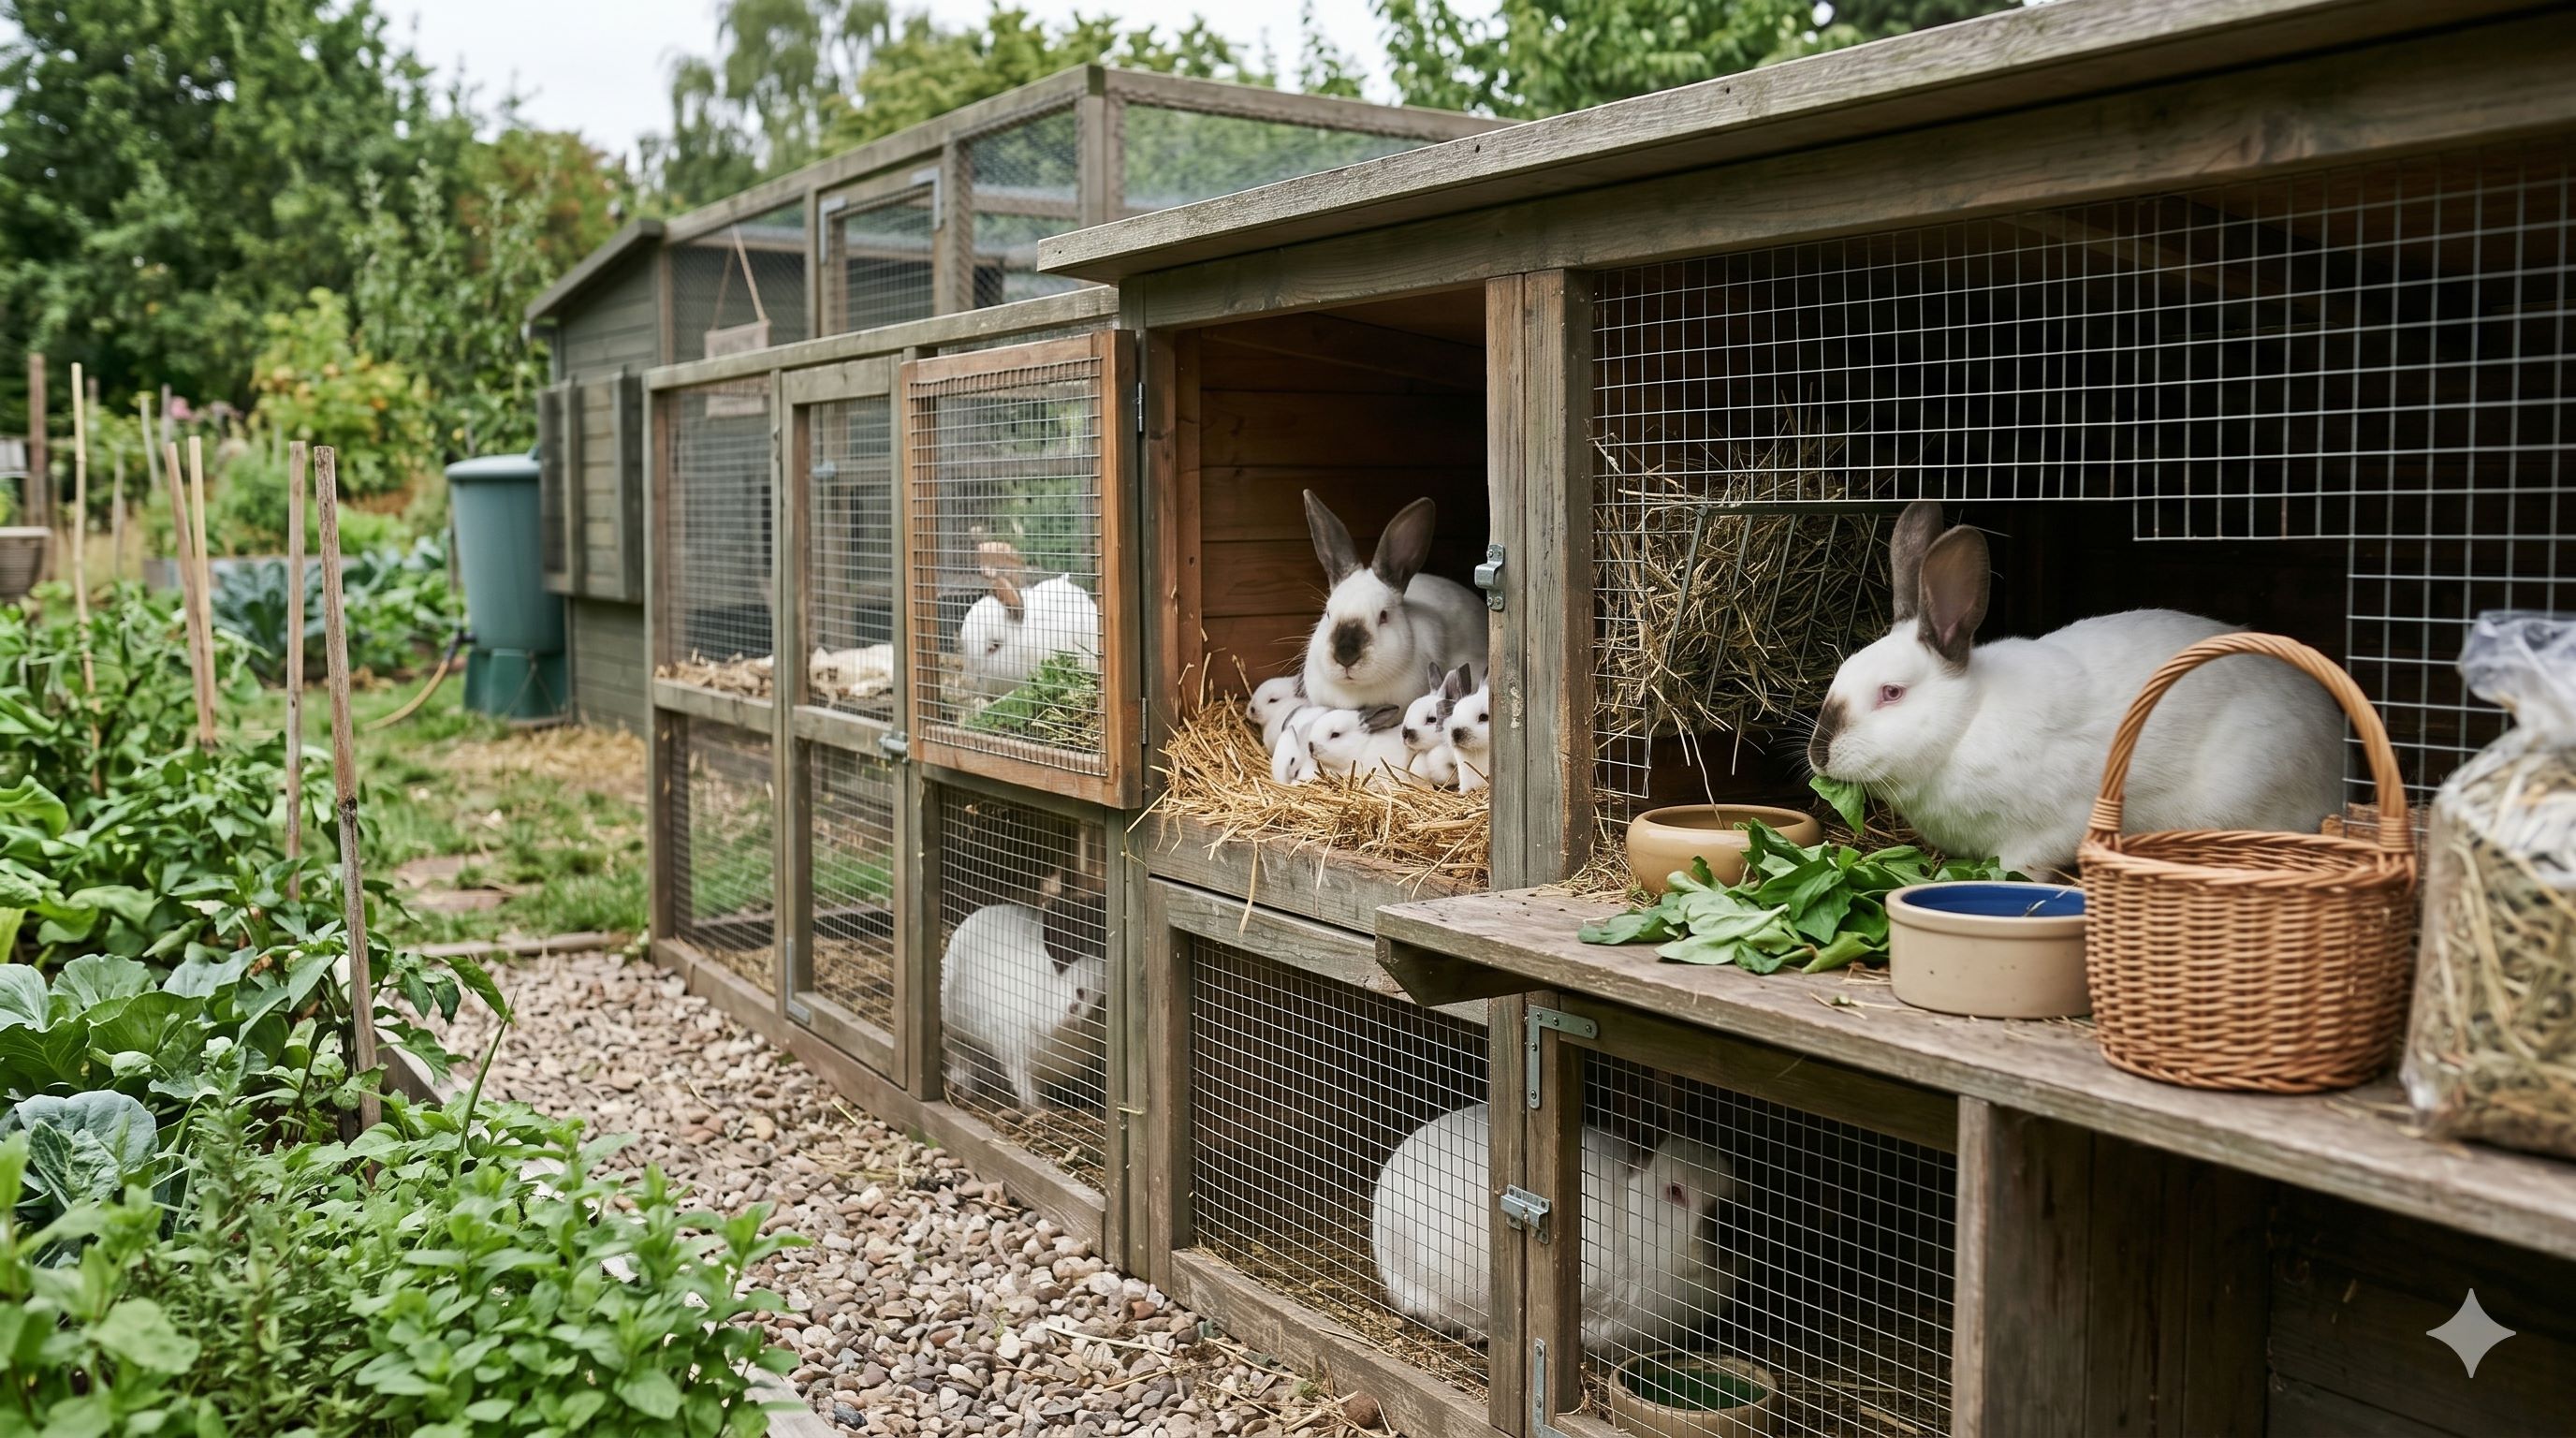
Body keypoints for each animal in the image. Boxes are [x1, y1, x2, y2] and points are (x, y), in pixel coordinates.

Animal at [938, 890, 1107, 1112]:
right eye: (1079, 992)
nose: (1087, 1017)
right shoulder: (1017, 1061)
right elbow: (1029, 1095)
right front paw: (1043, 1111)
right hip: (955, 1031)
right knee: (958, 1055)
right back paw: (965, 1087)